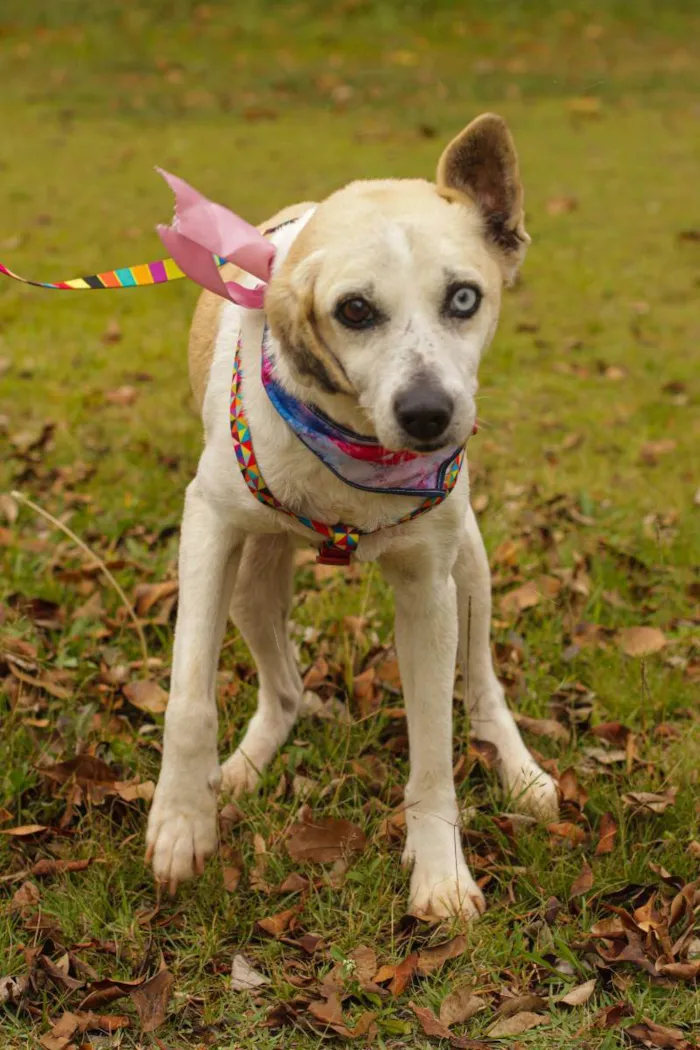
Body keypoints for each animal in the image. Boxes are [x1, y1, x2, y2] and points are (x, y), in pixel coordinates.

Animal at [144, 112, 562, 919]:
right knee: (284, 691)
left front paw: (440, 872)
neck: (354, 446)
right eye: (355, 311)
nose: (429, 414)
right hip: (251, 582)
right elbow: (188, 700)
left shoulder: (429, 588)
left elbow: (433, 747)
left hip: (471, 567)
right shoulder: (207, 527)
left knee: (483, 685)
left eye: (464, 299)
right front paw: (182, 823)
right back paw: (241, 769)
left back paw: (519, 771)